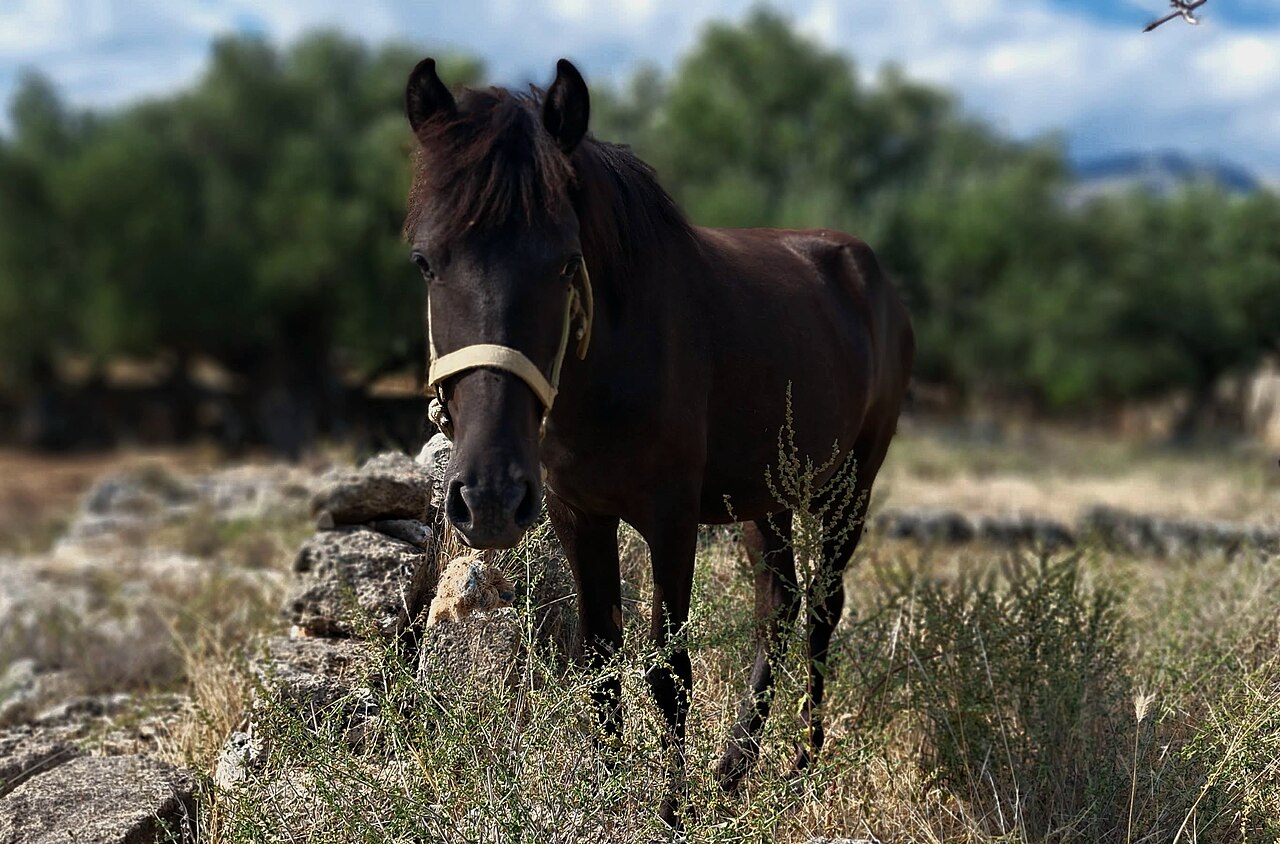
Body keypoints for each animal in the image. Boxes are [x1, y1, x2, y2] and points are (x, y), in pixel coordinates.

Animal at [403, 57, 914, 828]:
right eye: (427, 262)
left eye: (565, 263)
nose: (488, 498)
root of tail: (869, 271)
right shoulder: (578, 514)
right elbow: (600, 661)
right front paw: (606, 790)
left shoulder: (671, 519)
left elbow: (668, 671)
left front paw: (672, 812)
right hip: (764, 496)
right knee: (779, 605)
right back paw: (733, 772)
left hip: (848, 485)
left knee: (824, 607)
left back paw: (801, 764)